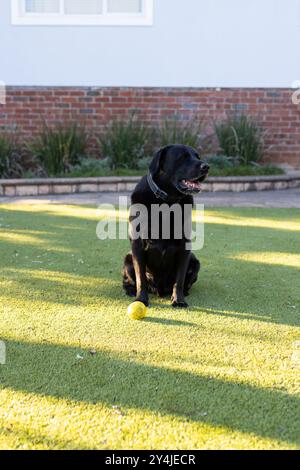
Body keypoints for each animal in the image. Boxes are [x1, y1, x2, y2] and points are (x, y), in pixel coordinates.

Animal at [122, 145, 209, 310]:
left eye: (198, 156)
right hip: (128, 258)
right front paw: (141, 299)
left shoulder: (185, 246)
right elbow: (141, 277)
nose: (206, 166)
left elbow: (179, 279)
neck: (167, 202)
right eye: (182, 157)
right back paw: (130, 290)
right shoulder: (137, 245)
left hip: (195, 261)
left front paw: (179, 300)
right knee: (129, 280)